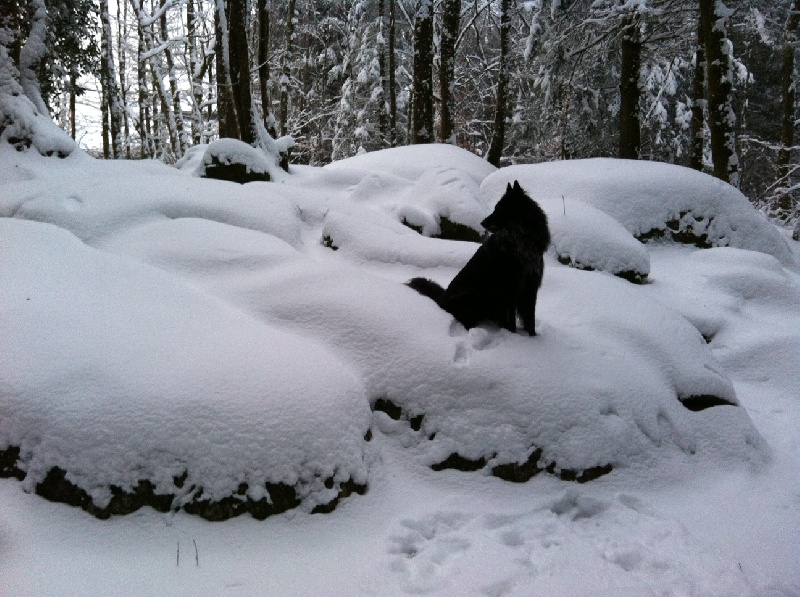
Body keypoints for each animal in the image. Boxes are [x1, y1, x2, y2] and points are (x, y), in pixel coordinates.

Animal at [406, 177, 552, 336]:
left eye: (500, 209)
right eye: (495, 208)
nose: (482, 223)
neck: (523, 240)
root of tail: (442, 300)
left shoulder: (530, 287)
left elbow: (530, 319)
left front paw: (533, 338)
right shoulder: (509, 289)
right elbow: (512, 320)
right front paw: (512, 336)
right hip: (473, 294)